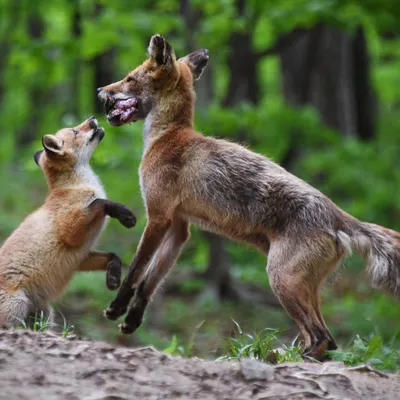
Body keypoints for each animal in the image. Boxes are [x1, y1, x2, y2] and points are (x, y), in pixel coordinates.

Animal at [0, 116, 136, 328]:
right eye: (75, 131)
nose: (92, 118)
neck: (77, 186)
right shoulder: (71, 233)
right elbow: (100, 203)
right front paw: (124, 214)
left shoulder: (81, 256)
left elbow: (113, 256)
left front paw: (113, 278)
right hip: (17, 306)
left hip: (44, 315)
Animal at [97, 34, 400, 360]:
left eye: (129, 78)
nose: (100, 90)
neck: (167, 136)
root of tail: (338, 215)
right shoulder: (179, 227)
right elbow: (149, 282)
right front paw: (132, 320)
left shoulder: (158, 216)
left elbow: (136, 270)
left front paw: (116, 307)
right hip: (304, 287)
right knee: (328, 341)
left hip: (281, 279)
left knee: (321, 338)